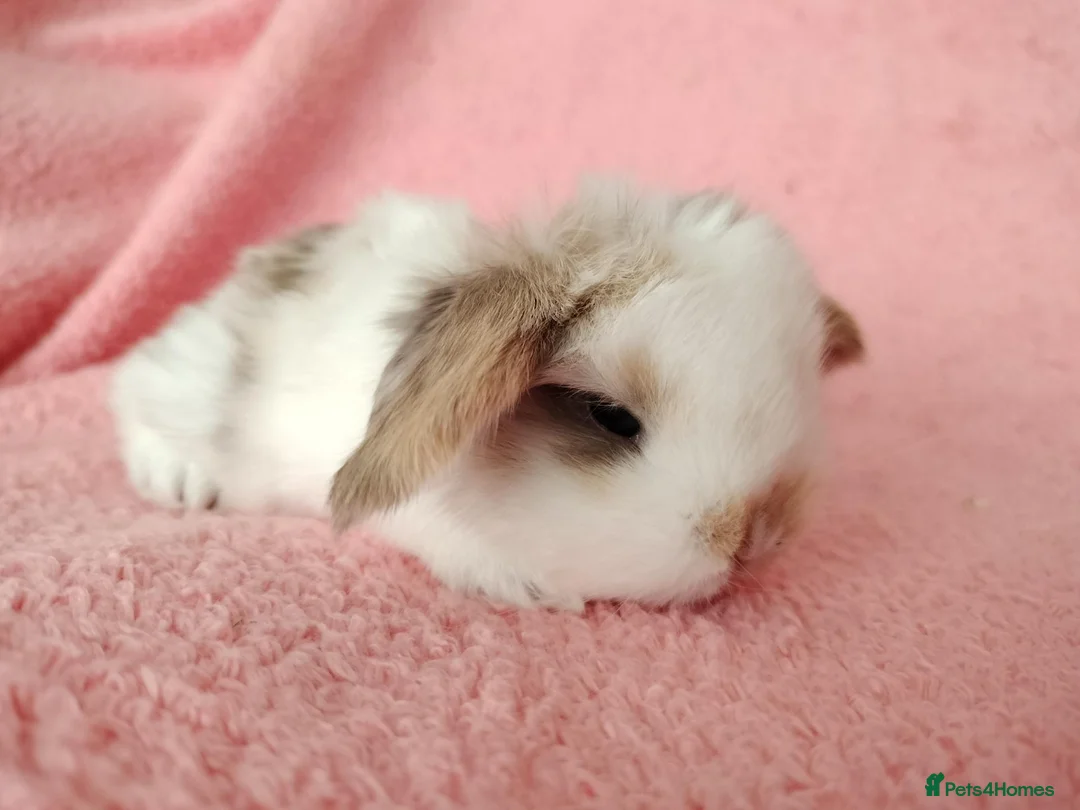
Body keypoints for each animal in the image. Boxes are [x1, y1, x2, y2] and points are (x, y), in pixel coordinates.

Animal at [110, 177, 864, 612]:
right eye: (611, 418)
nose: (755, 538)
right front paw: (528, 591)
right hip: (194, 384)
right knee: (132, 395)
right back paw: (183, 483)